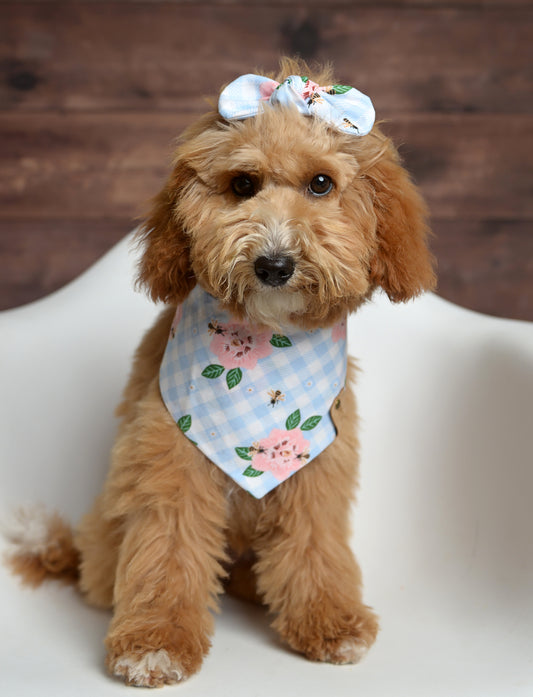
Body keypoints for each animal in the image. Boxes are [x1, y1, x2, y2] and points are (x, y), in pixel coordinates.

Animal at [6, 58, 434, 684]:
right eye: (243, 185)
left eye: (321, 184)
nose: (274, 264)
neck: (264, 349)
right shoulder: (170, 463)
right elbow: (168, 550)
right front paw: (155, 644)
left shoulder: (318, 468)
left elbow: (315, 545)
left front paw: (330, 622)